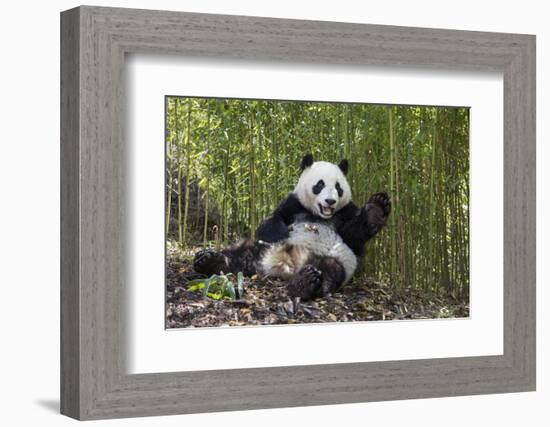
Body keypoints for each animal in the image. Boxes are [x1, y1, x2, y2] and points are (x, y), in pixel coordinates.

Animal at [194, 154, 392, 300]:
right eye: (320, 184)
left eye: (338, 187)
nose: (330, 201)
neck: (318, 215)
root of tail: (285, 267)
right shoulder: (293, 204)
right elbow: (272, 219)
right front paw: (281, 233)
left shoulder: (346, 213)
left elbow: (354, 235)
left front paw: (376, 209)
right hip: (261, 249)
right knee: (240, 252)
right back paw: (209, 260)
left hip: (337, 260)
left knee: (330, 270)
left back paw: (305, 283)